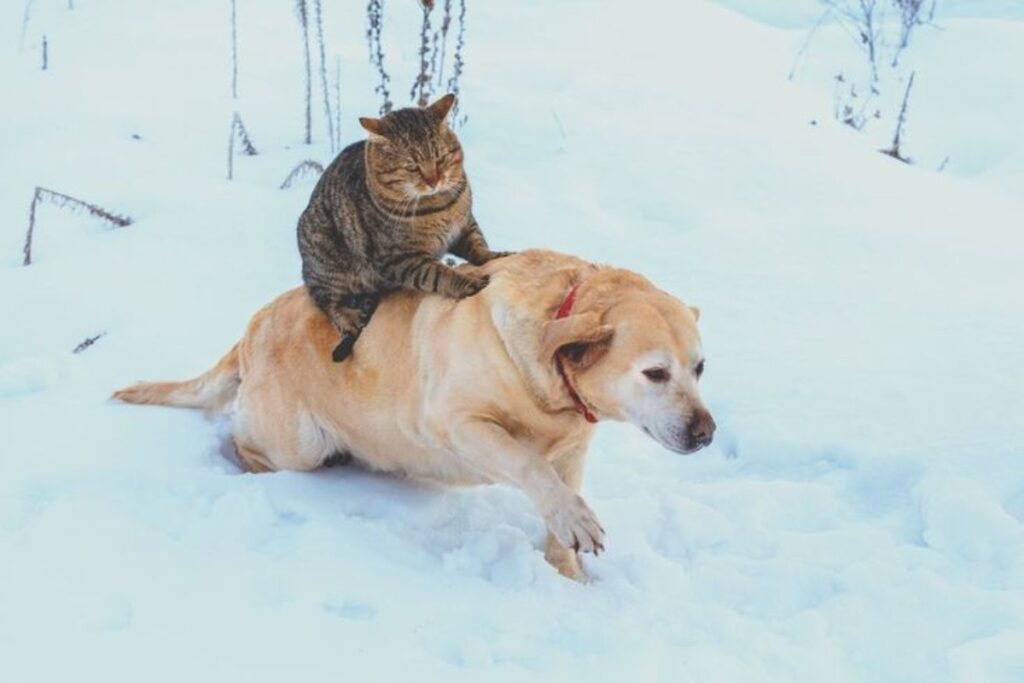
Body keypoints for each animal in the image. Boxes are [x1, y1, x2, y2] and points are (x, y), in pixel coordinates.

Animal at [114, 248, 712, 581]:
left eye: (700, 368)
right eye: (655, 373)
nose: (706, 433)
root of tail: (249, 330)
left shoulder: (573, 450)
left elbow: (555, 498)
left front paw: (568, 572)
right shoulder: (461, 423)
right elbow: (528, 465)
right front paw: (575, 521)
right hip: (295, 443)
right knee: (243, 440)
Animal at [296, 96, 507, 366]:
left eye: (440, 158)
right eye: (412, 167)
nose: (434, 180)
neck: (438, 206)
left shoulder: (464, 226)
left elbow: (479, 246)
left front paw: (496, 255)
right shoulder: (399, 258)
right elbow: (436, 274)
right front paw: (467, 283)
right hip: (323, 254)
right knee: (328, 304)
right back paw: (350, 320)